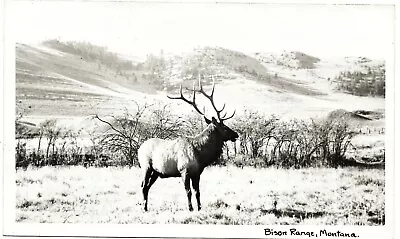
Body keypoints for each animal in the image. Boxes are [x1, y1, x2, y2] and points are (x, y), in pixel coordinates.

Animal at [138, 76, 238, 211]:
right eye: (225, 127)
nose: (236, 134)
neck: (200, 156)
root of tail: (139, 148)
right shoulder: (184, 170)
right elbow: (188, 191)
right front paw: (190, 208)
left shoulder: (197, 173)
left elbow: (197, 192)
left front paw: (199, 208)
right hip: (146, 167)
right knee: (143, 185)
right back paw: (144, 208)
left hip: (156, 172)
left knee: (147, 186)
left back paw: (146, 207)